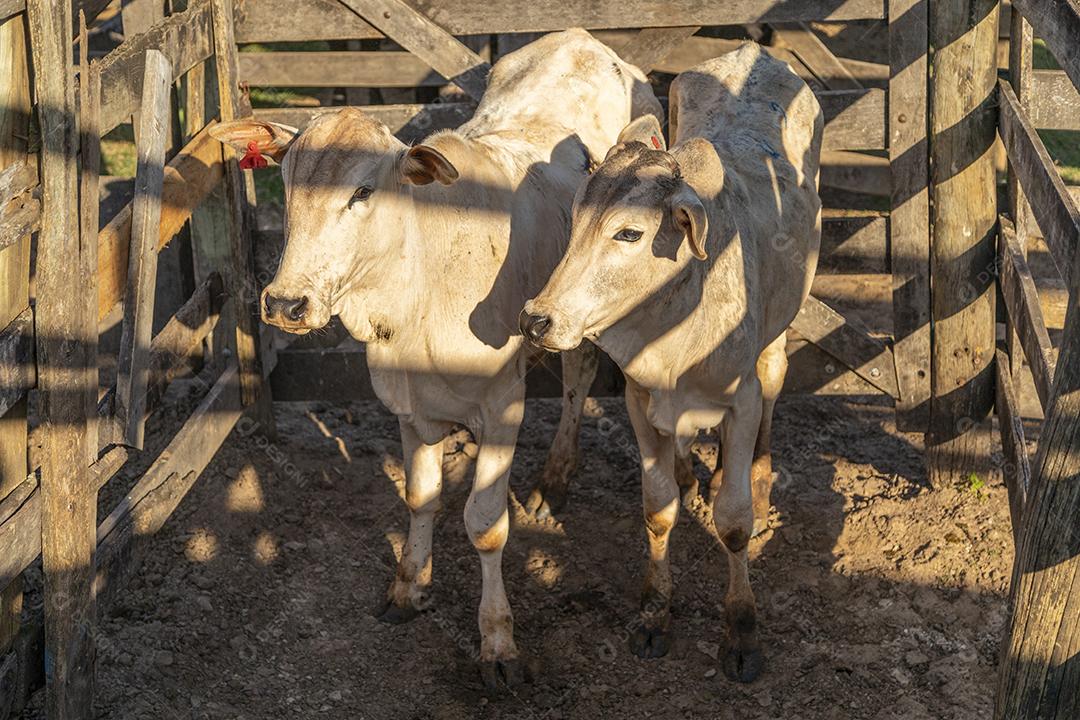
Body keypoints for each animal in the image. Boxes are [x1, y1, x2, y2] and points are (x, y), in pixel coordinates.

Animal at [209, 29, 661, 688]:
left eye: (362, 191)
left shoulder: (503, 407)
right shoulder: (407, 406)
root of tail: (581, 40)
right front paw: (409, 587)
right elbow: (420, 497)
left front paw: (497, 640)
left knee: (577, 377)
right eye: (287, 185)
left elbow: (485, 525)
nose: (286, 302)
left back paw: (554, 479)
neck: (416, 286)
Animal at [520, 43, 823, 682]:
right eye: (576, 220)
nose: (537, 319)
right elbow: (657, 510)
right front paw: (655, 614)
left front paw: (741, 630)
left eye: (629, 233)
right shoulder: (640, 401)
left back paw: (755, 476)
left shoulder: (739, 402)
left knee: (775, 384)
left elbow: (733, 522)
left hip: (778, 336)